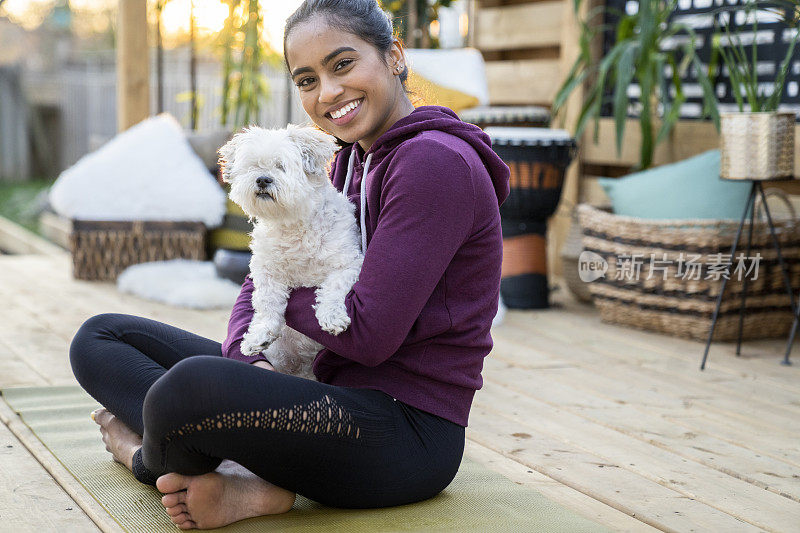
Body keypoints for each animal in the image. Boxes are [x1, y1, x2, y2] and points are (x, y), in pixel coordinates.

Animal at [222, 123, 366, 378]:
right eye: (254, 166)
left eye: (281, 166)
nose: (262, 179)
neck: (292, 223)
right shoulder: (266, 271)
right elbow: (267, 303)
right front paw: (259, 336)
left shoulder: (348, 264)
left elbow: (333, 288)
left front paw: (332, 316)